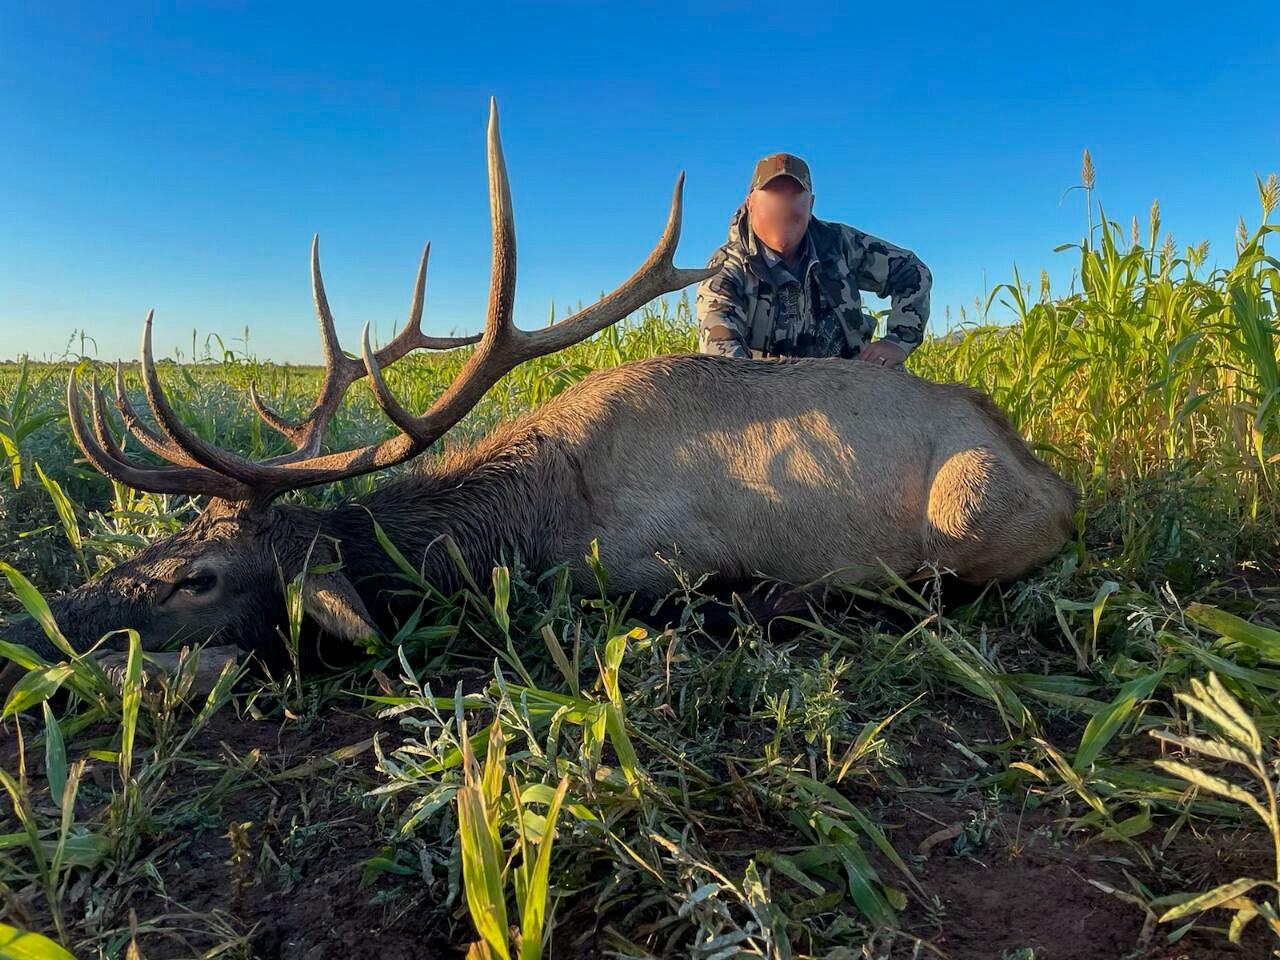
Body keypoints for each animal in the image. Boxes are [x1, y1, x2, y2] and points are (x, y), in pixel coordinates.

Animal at [0, 103, 1080, 691]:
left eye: (201, 577)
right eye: (171, 539)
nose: (33, 621)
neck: (530, 515)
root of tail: (1057, 480)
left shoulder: (657, 565)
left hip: (968, 507)